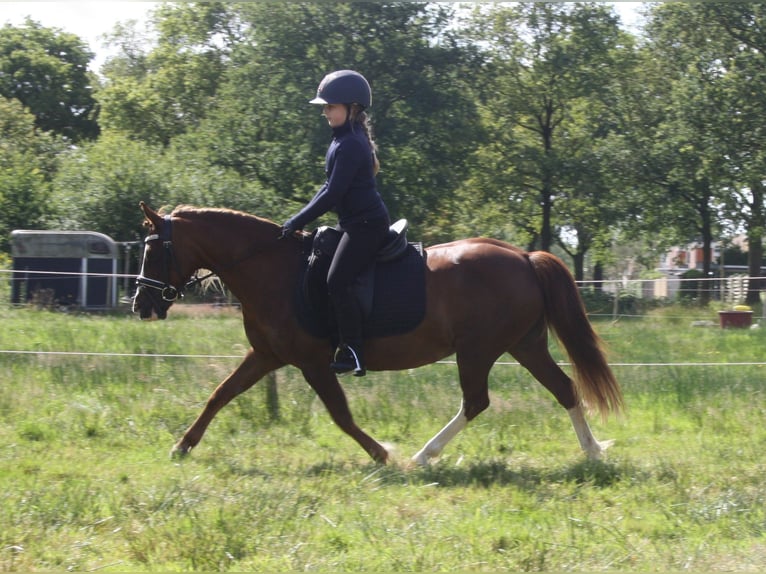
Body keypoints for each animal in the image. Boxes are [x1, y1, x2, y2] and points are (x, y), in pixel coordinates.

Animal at [132, 202, 624, 468]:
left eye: (153, 251)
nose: (141, 305)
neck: (273, 270)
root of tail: (523, 257)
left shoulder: (312, 362)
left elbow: (341, 415)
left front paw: (381, 452)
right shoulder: (267, 355)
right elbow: (220, 395)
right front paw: (182, 446)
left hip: (478, 350)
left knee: (477, 401)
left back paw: (425, 454)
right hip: (523, 345)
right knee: (563, 388)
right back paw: (593, 451)